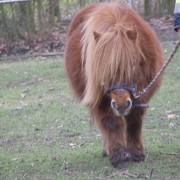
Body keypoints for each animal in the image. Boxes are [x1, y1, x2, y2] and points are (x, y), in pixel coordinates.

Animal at [65, 3, 165, 169]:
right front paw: (119, 157)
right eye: (102, 70)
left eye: (133, 63)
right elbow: (112, 124)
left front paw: (136, 153)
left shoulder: (140, 96)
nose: (121, 103)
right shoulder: (101, 100)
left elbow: (134, 122)